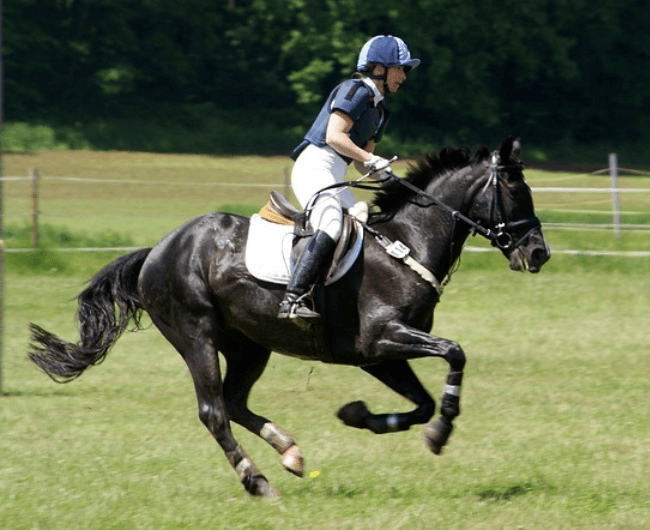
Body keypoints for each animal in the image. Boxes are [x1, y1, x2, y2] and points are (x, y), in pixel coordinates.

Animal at [29, 136, 548, 496]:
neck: (407, 243)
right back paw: (258, 482)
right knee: (213, 411)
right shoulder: (382, 339)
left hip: (248, 344)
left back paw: (290, 452)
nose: (538, 253)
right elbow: (455, 354)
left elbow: (419, 402)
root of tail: (157, 249)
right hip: (195, 334)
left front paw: (360, 416)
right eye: (514, 189)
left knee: (234, 402)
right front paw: (441, 432)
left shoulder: (379, 355)